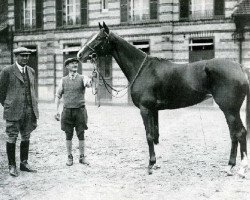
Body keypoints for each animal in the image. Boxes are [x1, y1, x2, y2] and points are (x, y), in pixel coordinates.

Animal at [77, 21, 249, 177]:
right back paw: (230, 167)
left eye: (100, 38)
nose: (79, 55)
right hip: (230, 110)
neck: (142, 69)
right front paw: (156, 163)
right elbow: (155, 135)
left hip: (230, 109)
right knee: (234, 134)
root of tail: (239, 67)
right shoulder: (154, 110)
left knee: (239, 133)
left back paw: (240, 169)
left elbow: (149, 135)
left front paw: (150, 165)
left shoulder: (145, 109)